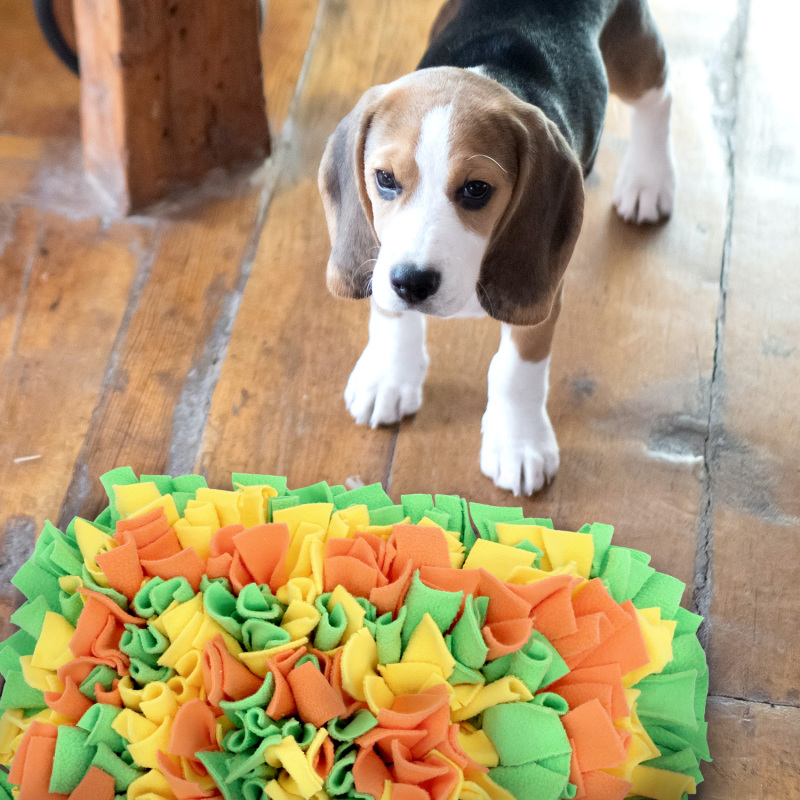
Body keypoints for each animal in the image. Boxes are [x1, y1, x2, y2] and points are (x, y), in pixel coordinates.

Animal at [318, 0, 676, 494]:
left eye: (476, 190)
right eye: (385, 179)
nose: (413, 283)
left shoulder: (543, 298)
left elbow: (515, 372)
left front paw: (518, 443)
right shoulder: (383, 259)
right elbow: (390, 315)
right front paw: (388, 375)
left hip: (631, 53)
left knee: (659, 96)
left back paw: (648, 179)